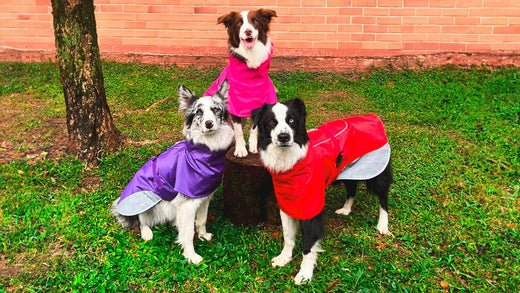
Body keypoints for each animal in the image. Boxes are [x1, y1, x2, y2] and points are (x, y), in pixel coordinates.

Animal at [114, 81, 236, 264]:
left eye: (216, 109)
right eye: (199, 112)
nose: (209, 124)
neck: (204, 154)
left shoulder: (204, 196)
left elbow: (201, 220)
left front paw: (203, 235)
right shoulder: (188, 204)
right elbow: (188, 232)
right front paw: (191, 255)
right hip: (147, 198)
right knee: (141, 218)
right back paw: (146, 232)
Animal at [203, 8, 278, 157]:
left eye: (255, 21)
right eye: (239, 23)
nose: (248, 31)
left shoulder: (258, 104)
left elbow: (254, 129)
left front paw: (253, 146)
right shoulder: (235, 107)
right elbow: (238, 132)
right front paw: (241, 150)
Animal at [253, 98, 394, 282]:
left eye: (291, 120)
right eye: (271, 122)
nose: (284, 137)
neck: (291, 159)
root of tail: (373, 117)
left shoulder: (311, 205)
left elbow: (308, 244)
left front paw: (305, 274)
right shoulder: (286, 201)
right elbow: (288, 236)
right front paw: (284, 258)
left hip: (376, 173)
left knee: (383, 197)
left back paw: (383, 225)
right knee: (352, 188)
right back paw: (346, 209)